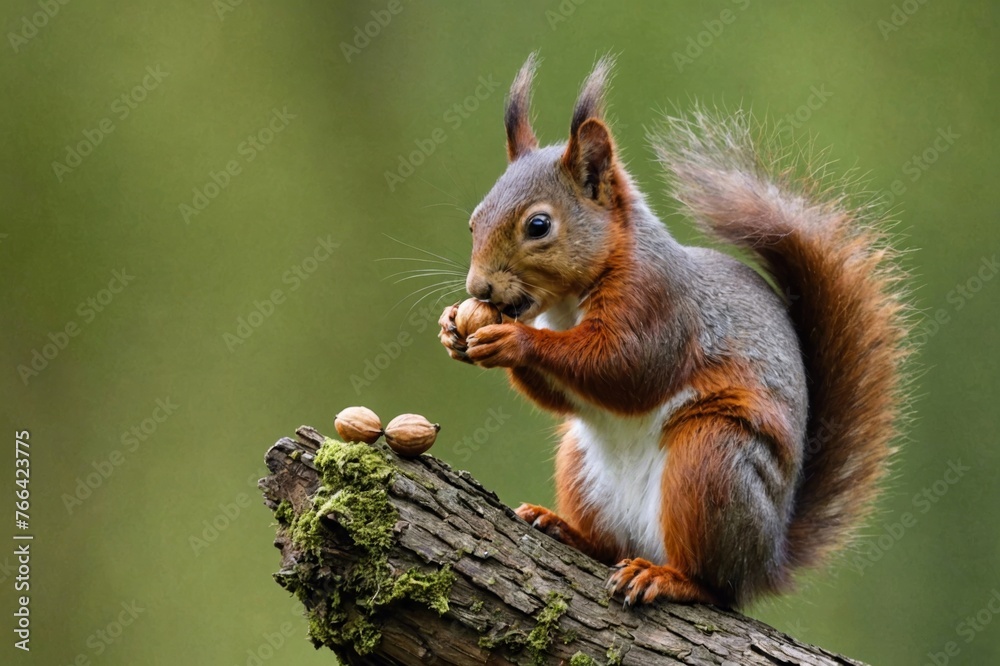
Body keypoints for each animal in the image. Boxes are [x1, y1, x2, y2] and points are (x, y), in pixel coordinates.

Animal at [438, 54, 911, 609]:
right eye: (474, 221)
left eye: (538, 226)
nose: (479, 288)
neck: (571, 301)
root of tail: (765, 562)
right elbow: (567, 395)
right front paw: (451, 327)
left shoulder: (659, 306)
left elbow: (627, 368)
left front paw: (514, 341)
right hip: (581, 464)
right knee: (609, 545)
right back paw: (564, 528)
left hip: (711, 460)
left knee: (711, 582)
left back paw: (667, 578)